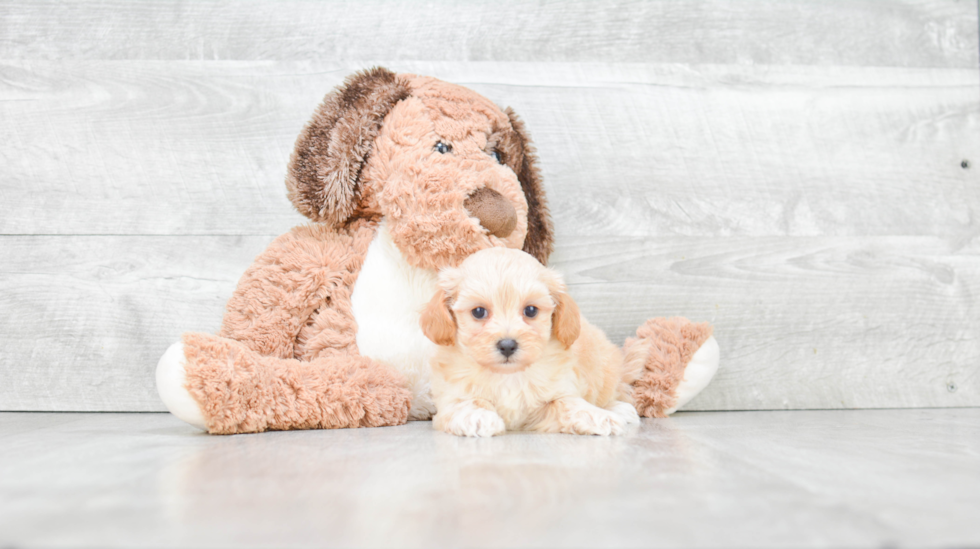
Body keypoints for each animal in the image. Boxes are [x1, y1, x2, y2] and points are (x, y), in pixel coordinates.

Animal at [418, 248, 648, 436]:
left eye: (530, 310)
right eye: (478, 312)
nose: (508, 345)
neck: (508, 376)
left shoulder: (558, 392)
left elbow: (569, 404)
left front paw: (599, 417)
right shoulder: (452, 395)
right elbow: (464, 403)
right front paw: (477, 416)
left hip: (604, 369)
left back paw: (618, 409)